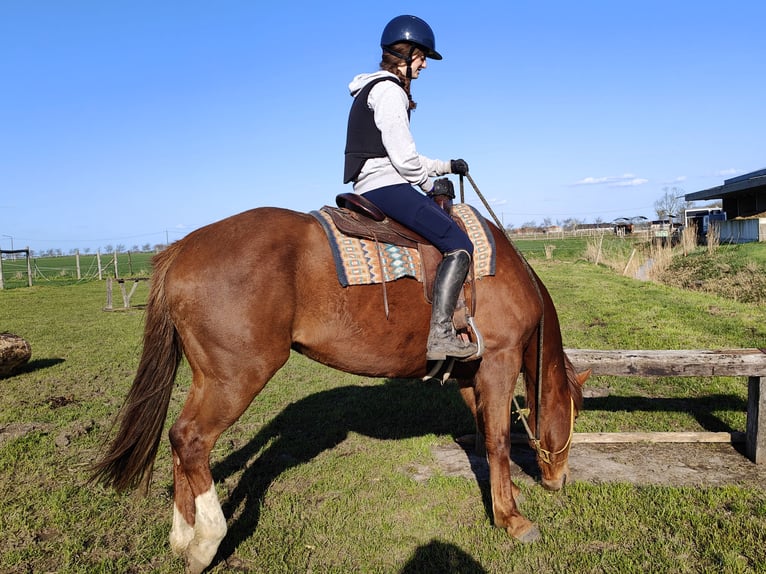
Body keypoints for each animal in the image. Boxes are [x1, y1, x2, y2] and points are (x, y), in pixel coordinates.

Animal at [92, 205, 587, 574]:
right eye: (574, 415)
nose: (560, 480)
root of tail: (181, 248)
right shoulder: (499, 361)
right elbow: (499, 439)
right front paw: (513, 519)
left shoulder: (470, 375)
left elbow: (485, 435)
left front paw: (507, 497)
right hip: (234, 378)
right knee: (192, 439)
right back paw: (205, 542)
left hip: (207, 377)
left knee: (177, 439)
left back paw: (182, 535)